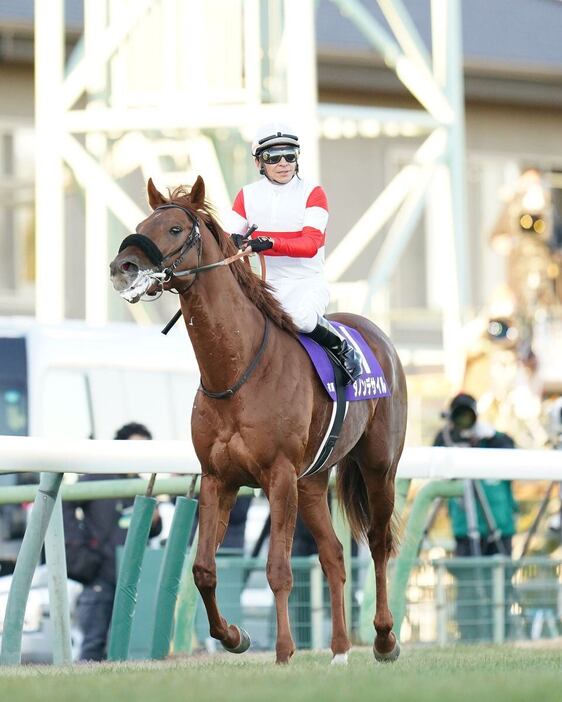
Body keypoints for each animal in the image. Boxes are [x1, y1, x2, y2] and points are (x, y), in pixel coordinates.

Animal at [109, 176, 404, 664]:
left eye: (174, 229)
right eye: (141, 224)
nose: (122, 268)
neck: (235, 371)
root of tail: (378, 335)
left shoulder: (278, 476)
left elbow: (278, 569)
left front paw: (283, 650)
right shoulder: (218, 478)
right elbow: (204, 569)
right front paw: (233, 636)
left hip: (379, 467)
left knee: (378, 543)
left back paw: (383, 639)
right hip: (312, 481)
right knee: (334, 554)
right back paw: (340, 649)